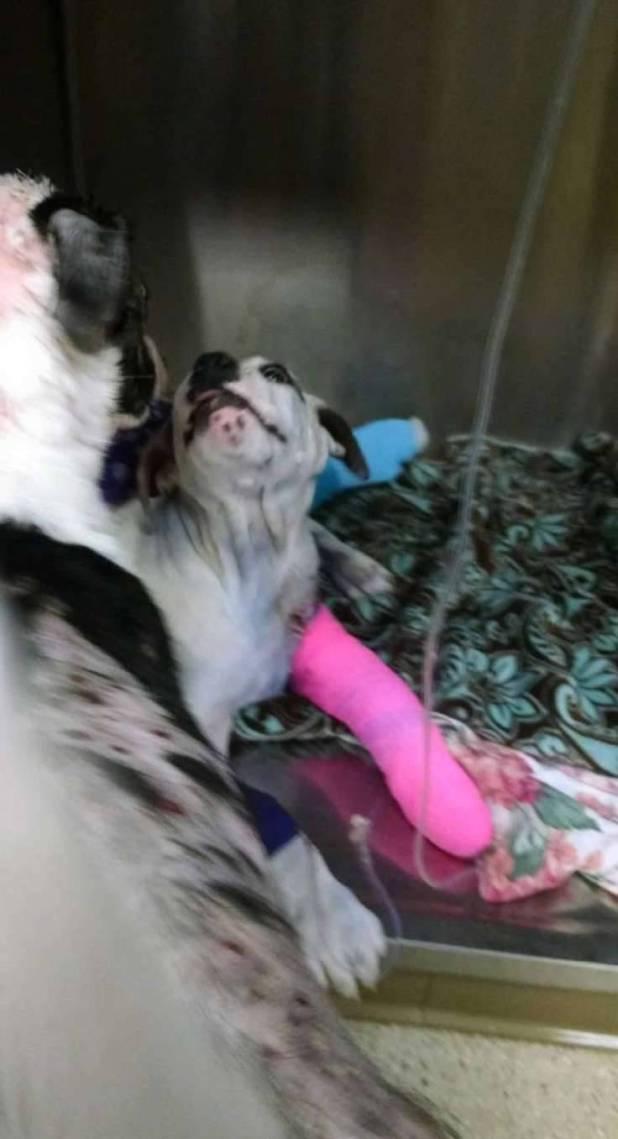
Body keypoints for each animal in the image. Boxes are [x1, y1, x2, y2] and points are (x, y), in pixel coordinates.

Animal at [0, 173, 452, 1138]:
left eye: (277, 373)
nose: (203, 366)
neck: (241, 553)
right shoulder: (195, 730)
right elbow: (280, 819)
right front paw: (341, 926)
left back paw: (354, 564)